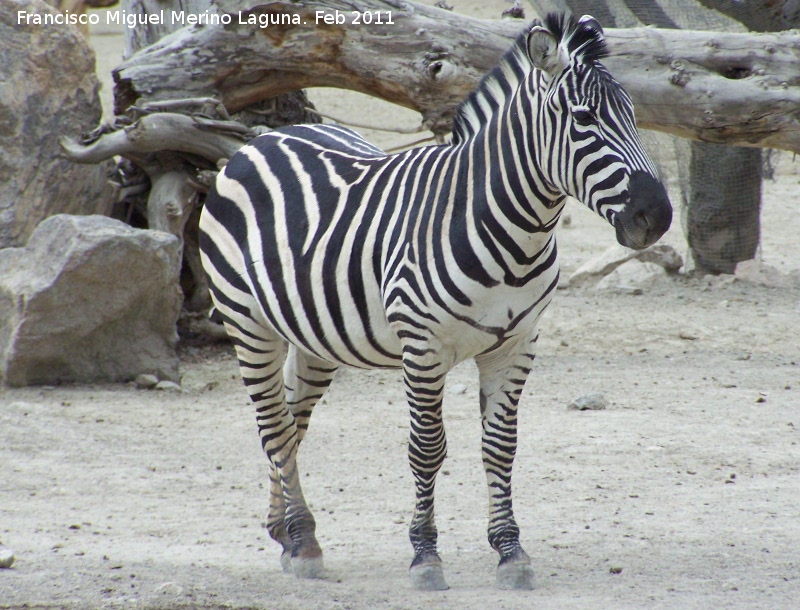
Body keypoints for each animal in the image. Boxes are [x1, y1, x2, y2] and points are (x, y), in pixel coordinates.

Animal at [198, 10, 668, 588]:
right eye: (584, 119)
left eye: (632, 114)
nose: (658, 216)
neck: (511, 229)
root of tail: (264, 138)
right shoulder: (422, 347)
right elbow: (427, 448)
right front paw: (425, 555)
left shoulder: (517, 344)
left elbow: (500, 446)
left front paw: (510, 550)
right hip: (247, 322)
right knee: (273, 426)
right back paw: (304, 539)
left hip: (313, 336)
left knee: (290, 419)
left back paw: (284, 532)